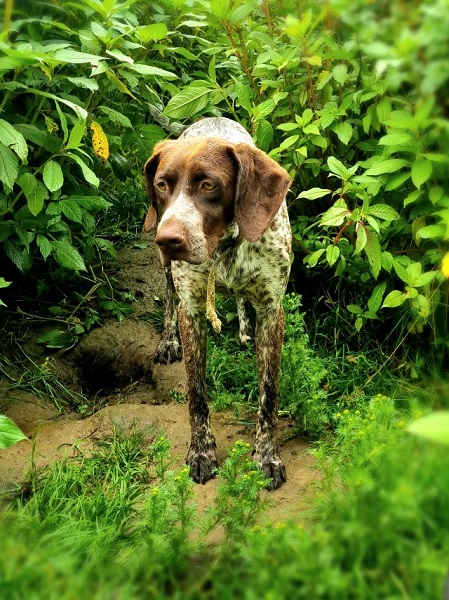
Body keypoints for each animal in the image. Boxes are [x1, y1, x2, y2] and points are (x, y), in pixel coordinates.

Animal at [143, 116, 290, 488]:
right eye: (162, 185)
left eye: (208, 185)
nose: (167, 239)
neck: (224, 246)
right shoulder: (192, 311)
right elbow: (196, 394)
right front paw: (201, 452)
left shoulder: (272, 311)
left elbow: (268, 394)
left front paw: (266, 456)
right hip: (169, 273)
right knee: (169, 299)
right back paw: (168, 341)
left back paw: (244, 331)